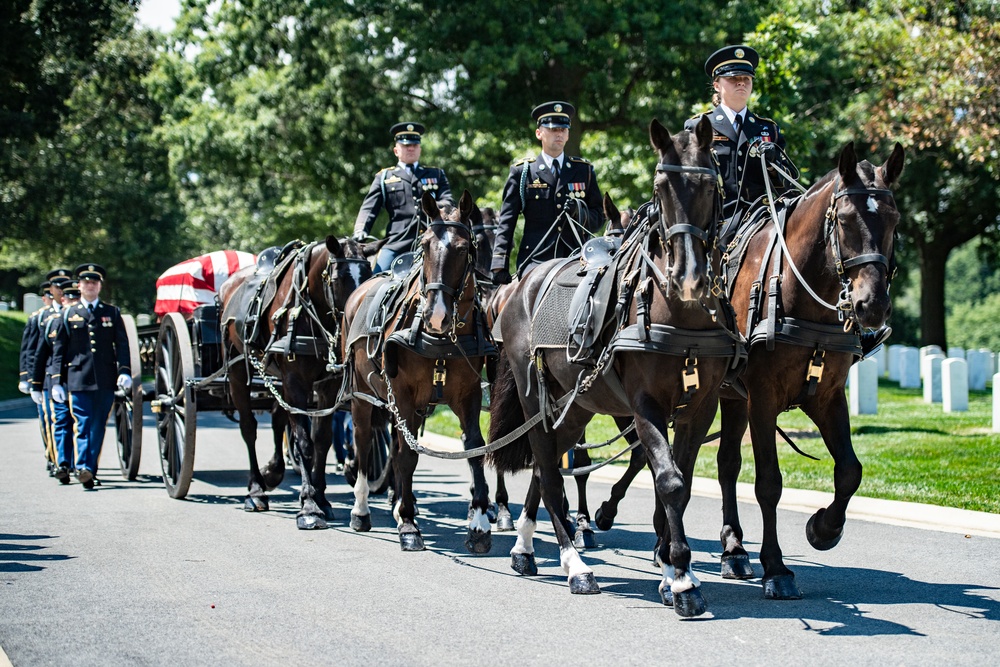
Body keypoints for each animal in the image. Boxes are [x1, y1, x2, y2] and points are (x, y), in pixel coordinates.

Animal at [219, 237, 376, 528]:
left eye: (369, 275)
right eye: (337, 278)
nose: (355, 317)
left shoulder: (327, 386)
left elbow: (321, 439)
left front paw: (321, 498)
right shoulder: (296, 382)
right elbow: (303, 441)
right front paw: (309, 505)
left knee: (277, 418)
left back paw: (273, 472)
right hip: (236, 371)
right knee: (249, 428)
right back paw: (255, 490)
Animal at [342, 189, 498, 552]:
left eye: (463, 248)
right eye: (425, 246)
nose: (436, 314)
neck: (440, 338)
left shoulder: (468, 394)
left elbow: (474, 448)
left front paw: (480, 524)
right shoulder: (401, 394)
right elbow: (407, 457)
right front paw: (409, 525)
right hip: (362, 396)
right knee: (364, 440)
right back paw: (362, 509)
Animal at [484, 117, 744, 620]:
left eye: (710, 184)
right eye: (660, 186)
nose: (688, 276)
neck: (679, 314)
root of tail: (518, 286)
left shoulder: (699, 408)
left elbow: (677, 483)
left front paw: (670, 568)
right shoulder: (644, 407)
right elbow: (669, 481)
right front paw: (682, 580)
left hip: (576, 405)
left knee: (550, 465)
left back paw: (526, 546)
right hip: (533, 400)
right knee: (549, 473)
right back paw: (574, 565)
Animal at [716, 141, 904, 600]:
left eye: (894, 220)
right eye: (846, 219)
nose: (872, 305)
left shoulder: (828, 395)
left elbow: (850, 471)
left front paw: (824, 528)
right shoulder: (762, 397)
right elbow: (769, 482)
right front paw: (777, 567)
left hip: (731, 398)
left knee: (727, 463)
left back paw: (734, 549)